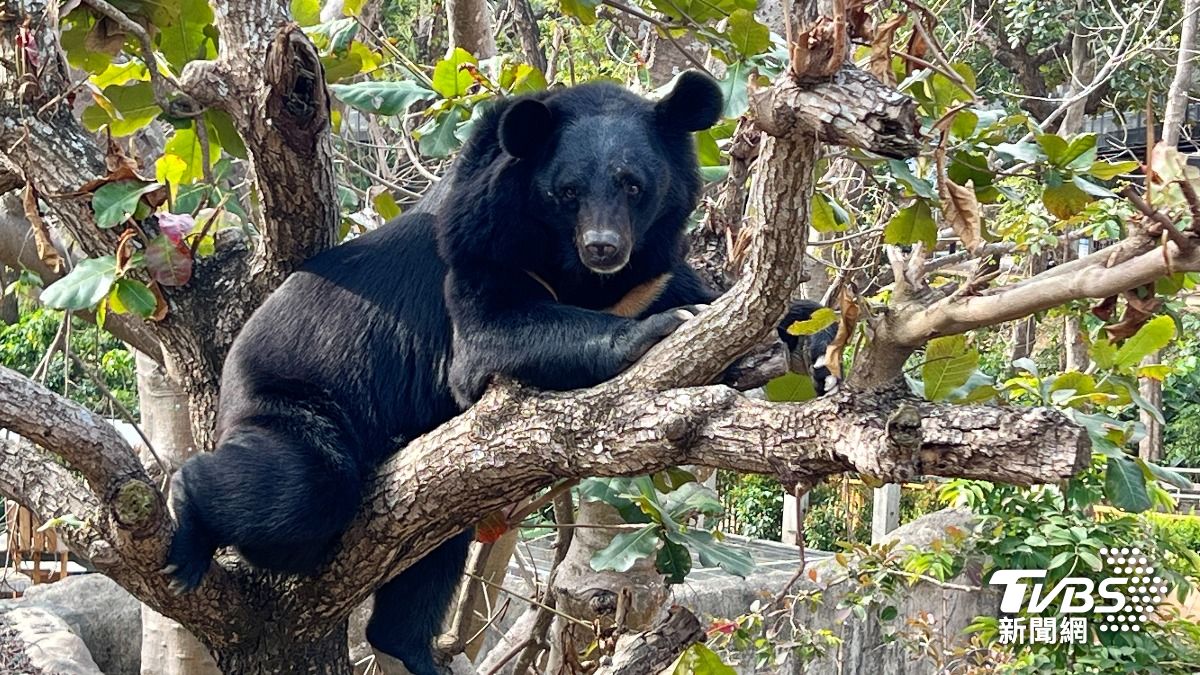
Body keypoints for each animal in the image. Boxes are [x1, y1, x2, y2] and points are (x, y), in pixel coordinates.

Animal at [165, 71, 833, 675]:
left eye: (633, 185)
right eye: (567, 191)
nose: (604, 246)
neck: (581, 274)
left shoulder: (652, 270)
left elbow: (719, 299)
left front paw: (813, 337)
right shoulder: (478, 246)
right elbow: (489, 340)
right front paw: (661, 329)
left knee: (426, 551)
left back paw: (412, 650)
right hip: (294, 400)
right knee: (298, 489)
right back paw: (186, 519)